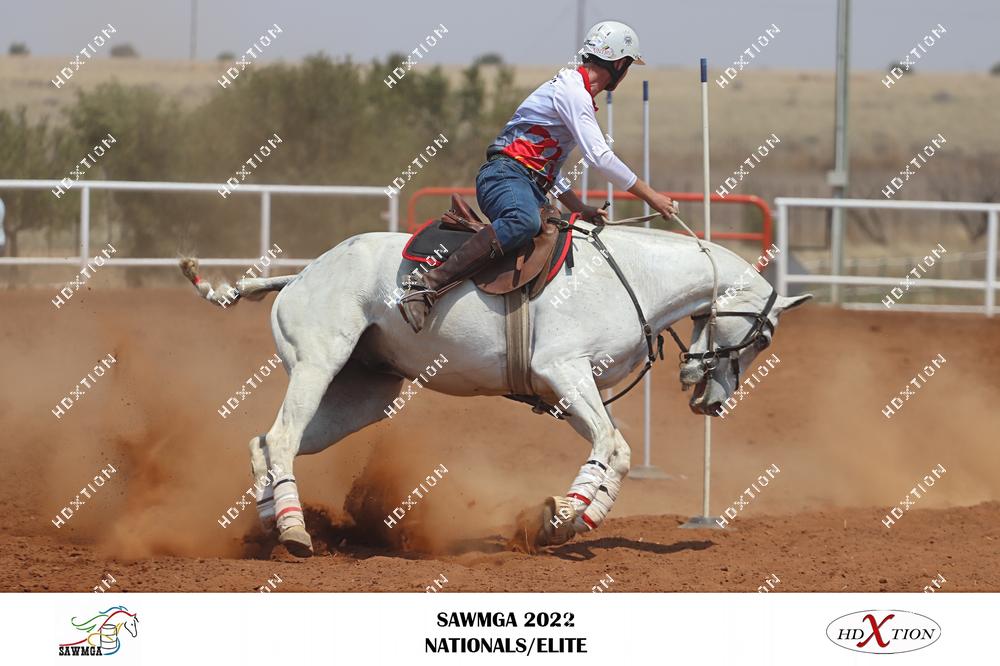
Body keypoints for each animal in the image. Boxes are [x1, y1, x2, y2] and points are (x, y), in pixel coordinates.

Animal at [180, 220, 810, 556]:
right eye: (762, 337)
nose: (713, 401)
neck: (633, 278)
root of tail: (300, 275)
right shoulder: (565, 370)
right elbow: (611, 446)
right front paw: (566, 516)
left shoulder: (566, 391)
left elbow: (615, 451)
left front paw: (569, 520)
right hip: (317, 365)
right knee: (281, 439)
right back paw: (293, 531)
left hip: (364, 396)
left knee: (263, 443)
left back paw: (271, 521)